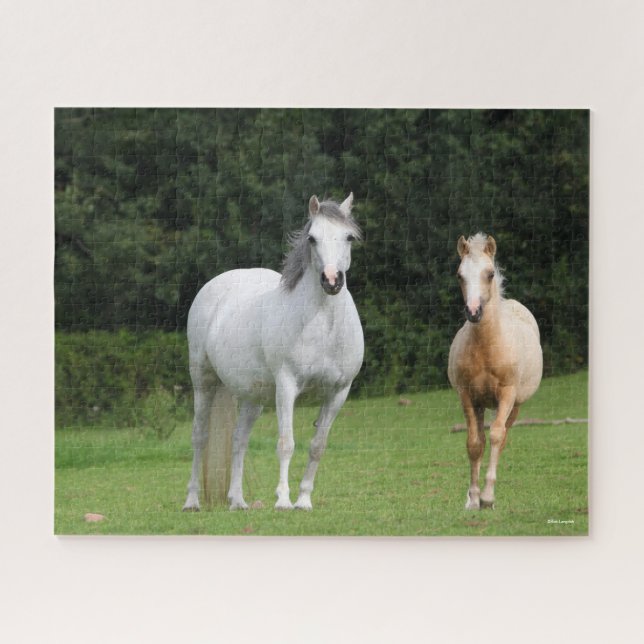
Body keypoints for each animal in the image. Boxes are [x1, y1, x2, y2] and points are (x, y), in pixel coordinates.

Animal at [182, 194, 364, 511]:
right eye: (312, 238)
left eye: (349, 237)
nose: (331, 281)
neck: (324, 326)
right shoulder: (287, 387)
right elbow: (286, 443)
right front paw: (283, 499)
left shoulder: (338, 392)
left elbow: (317, 447)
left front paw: (303, 500)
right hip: (203, 382)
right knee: (199, 437)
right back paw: (192, 500)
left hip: (251, 397)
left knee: (239, 440)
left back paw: (237, 501)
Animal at [448, 233, 542, 510]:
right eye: (459, 275)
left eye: (490, 274)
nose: (473, 312)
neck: (487, 347)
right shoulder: (468, 397)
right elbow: (474, 443)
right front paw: (473, 498)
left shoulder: (507, 395)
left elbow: (497, 437)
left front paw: (488, 497)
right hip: (481, 404)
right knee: (480, 438)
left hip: (516, 405)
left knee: (503, 436)